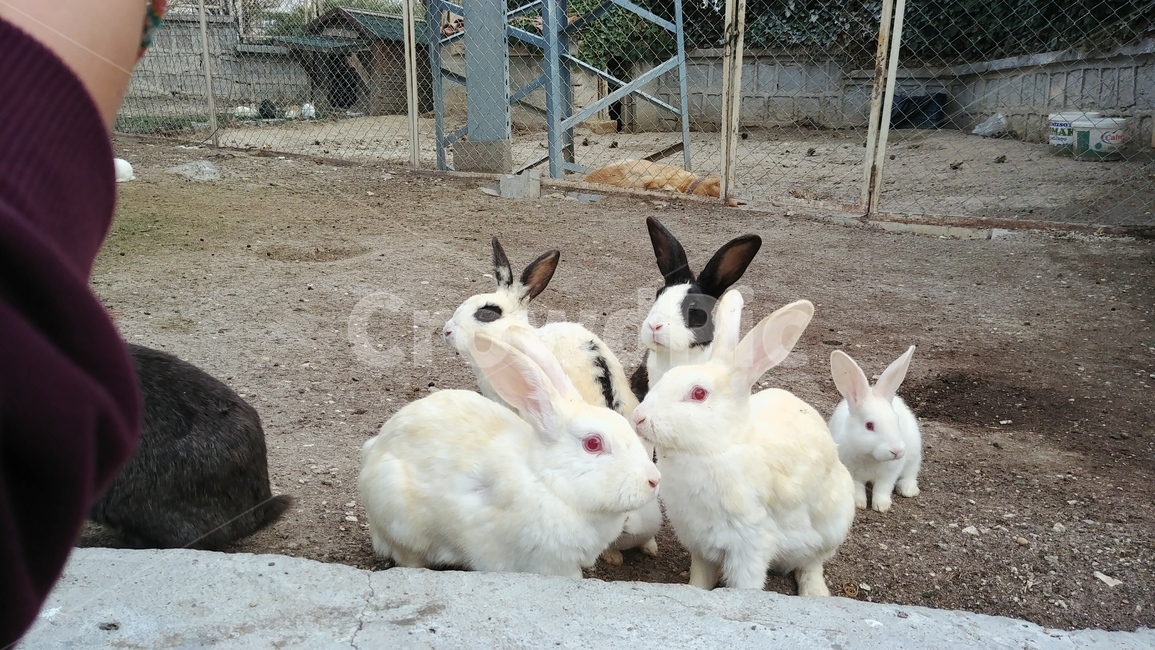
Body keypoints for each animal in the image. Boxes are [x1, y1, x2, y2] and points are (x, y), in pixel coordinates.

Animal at [632, 290, 855, 595]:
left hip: (830, 530)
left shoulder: (750, 544)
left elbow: (745, 584)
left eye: (699, 393)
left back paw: (815, 592)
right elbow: (700, 576)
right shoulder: (699, 540)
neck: (717, 447)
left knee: (811, 564)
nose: (638, 418)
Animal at [828, 346, 922, 513]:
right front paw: (859, 504)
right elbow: (858, 488)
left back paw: (908, 489)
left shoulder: (889, 473)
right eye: (869, 425)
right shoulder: (852, 473)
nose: (896, 451)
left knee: (911, 471)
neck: (871, 456)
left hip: (913, 452)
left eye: (896, 420)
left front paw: (881, 506)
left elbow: (882, 489)